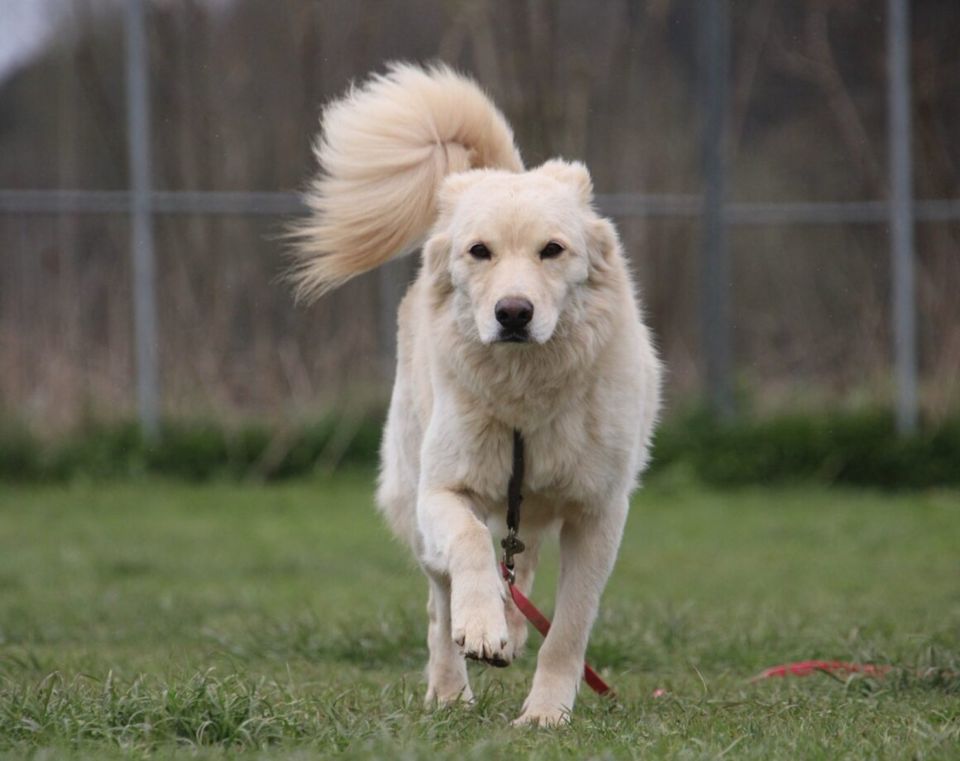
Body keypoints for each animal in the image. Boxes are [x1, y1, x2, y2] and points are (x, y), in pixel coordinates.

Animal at [294, 65, 660, 724]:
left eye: (552, 250)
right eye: (479, 251)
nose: (513, 313)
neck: (523, 394)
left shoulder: (598, 514)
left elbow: (568, 627)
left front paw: (545, 714)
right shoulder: (441, 491)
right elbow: (469, 546)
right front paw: (482, 629)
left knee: (524, 562)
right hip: (413, 499)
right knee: (444, 601)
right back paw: (451, 686)